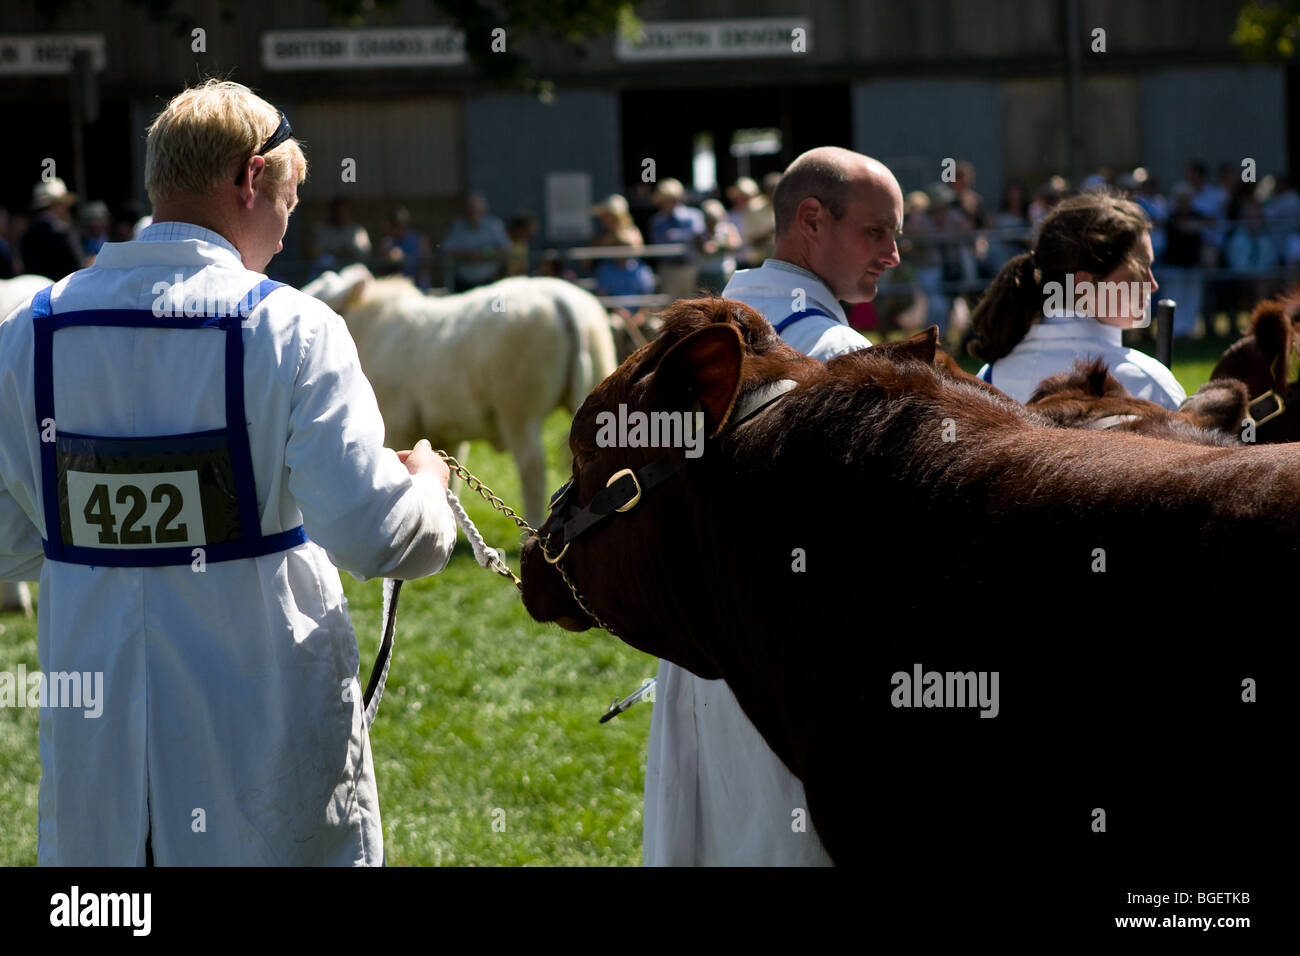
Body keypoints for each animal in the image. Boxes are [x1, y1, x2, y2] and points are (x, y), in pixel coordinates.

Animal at [301, 265, 616, 528]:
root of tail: (562, 298)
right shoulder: (447, 433)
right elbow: (449, 479)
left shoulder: (398, 426)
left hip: (518, 414)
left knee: (532, 469)